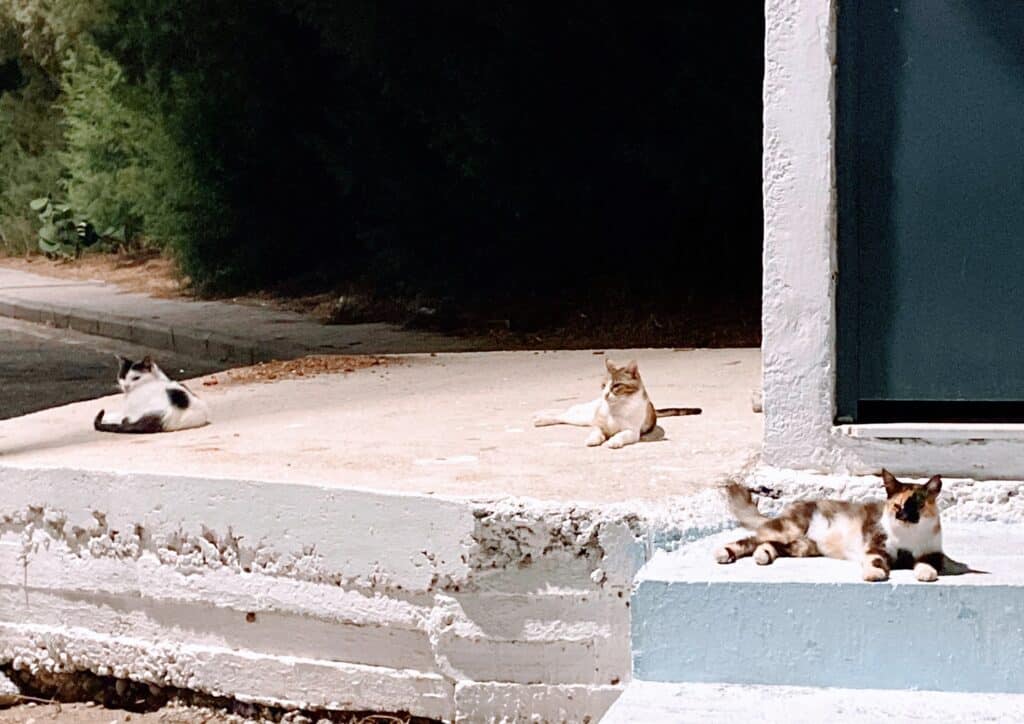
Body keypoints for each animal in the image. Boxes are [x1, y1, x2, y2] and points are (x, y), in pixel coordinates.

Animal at [532, 360, 700, 450]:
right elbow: (596, 433)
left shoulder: (632, 432)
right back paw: (540, 417)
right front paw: (593, 439)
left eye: (616, 386)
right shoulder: (598, 426)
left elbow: (620, 434)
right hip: (583, 415)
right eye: (603, 385)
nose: (605, 394)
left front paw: (613, 441)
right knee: (563, 413)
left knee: (564, 414)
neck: (616, 408)